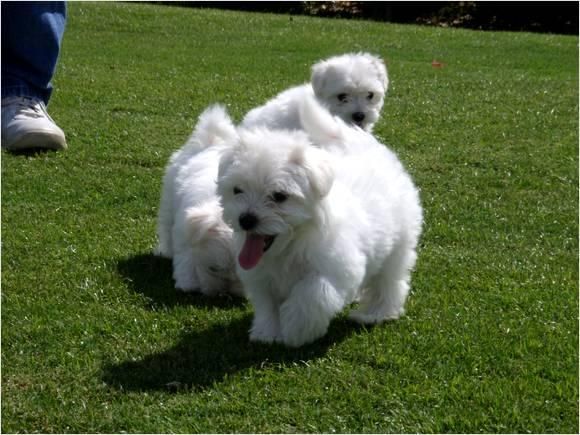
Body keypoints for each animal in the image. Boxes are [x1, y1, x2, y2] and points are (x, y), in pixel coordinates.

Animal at [155, 105, 241, 296]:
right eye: (213, 269)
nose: (227, 291)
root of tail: (211, 143)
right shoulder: (184, 239)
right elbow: (186, 260)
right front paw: (188, 284)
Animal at [218, 98, 422, 348]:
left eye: (279, 196)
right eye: (237, 190)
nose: (246, 219)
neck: (290, 245)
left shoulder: (334, 268)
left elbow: (311, 295)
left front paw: (296, 330)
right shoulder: (262, 278)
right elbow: (268, 306)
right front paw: (268, 333)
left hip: (398, 243)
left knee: (389, 280)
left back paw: (375, 314)